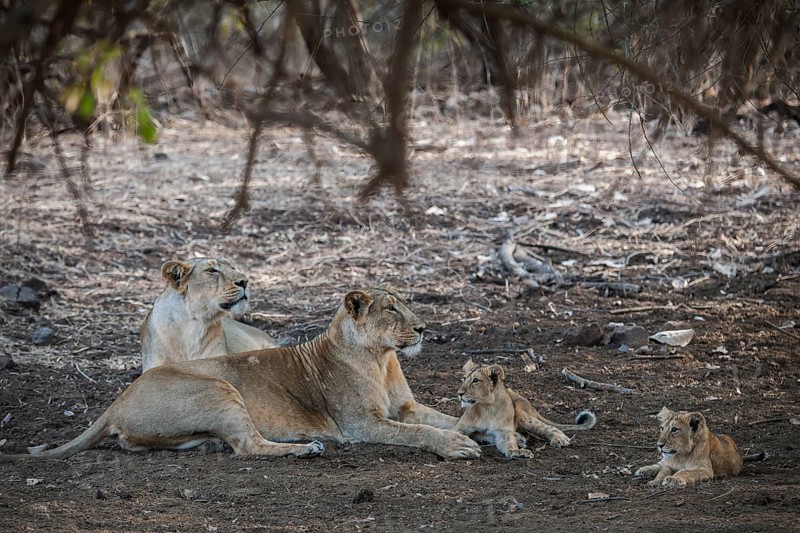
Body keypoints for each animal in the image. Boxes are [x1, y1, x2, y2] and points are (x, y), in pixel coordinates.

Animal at [2, 288, 480, 461]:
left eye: (408, 304)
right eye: (391, 309)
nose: (424, 328)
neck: (382, 359)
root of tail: (114, 403)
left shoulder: (407, 405)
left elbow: (446, 417)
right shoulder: (361, 424)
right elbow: (419, 433)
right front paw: (456, 446)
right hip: (219, 386)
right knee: (248, 447)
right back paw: (304, 449)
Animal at [454, 360, 596, 459]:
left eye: (475, 381)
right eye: (463, 379)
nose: (459, 393)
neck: (486, 407)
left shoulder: (503, 431)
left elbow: (509, 443)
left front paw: (516, 451)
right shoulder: (461, 427)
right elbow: (455, 435)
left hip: (524, 417)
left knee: (549, 428)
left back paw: (559, 439)